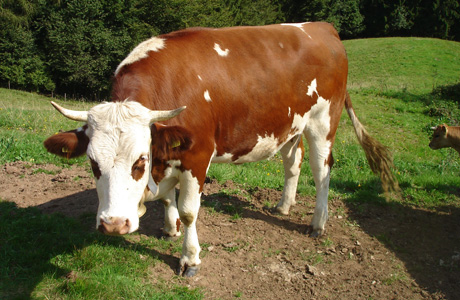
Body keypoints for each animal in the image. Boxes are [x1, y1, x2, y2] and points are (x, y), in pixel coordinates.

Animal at [44, 22, 398, 276]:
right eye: (93, 164)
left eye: (140, 161)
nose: (113, 225)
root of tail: (324, 28)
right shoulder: (171, 153)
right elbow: (169, 199)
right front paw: (169, 228)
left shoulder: (197, 154)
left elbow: (189, 210)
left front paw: (189, 258)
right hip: (290, 125)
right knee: (292, 163)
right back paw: (284, 206)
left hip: (324, 120)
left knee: (321, 168)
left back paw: (318, 224)